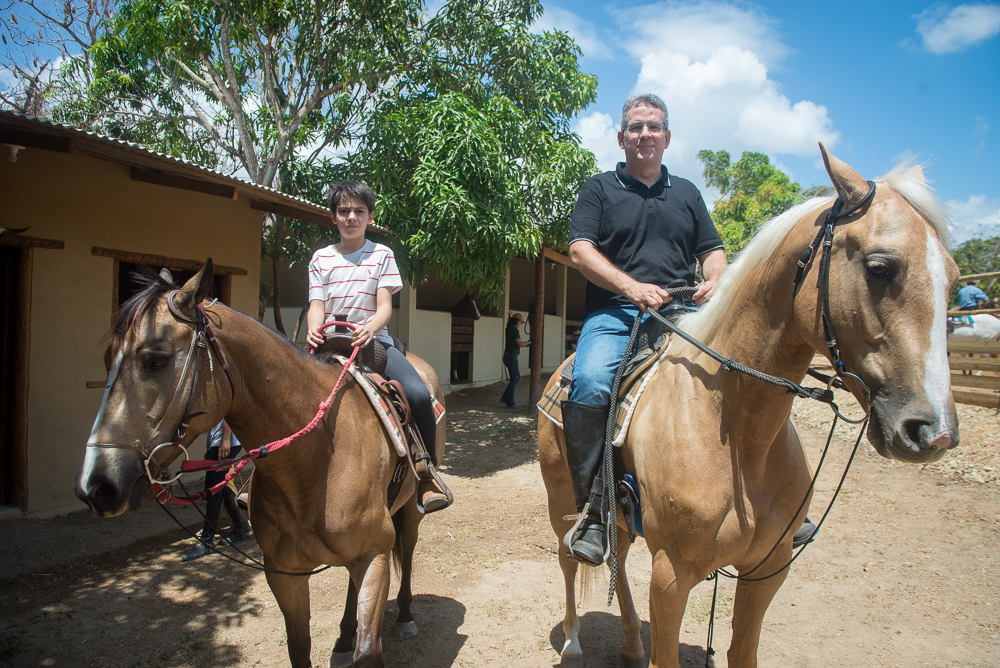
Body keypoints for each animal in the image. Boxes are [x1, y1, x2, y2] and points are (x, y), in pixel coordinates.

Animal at [74, 262, 442, 668]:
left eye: (156, 359)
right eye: (107, 360)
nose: (97, 485)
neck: (316, 463)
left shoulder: (374, 554)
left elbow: (369, 651)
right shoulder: (283, 573)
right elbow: (300, 649)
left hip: (411, 511)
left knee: (407, 550)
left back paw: (405, 616)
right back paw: (345, 637)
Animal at [540, 146, 960, 668]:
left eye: (954, 277)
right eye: (880, 267)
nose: (933, 432)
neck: (737, 432)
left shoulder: (767, 569)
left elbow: (744, 650)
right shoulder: (672, 576)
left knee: (617, 553)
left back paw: (632, 640)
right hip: (561, 499)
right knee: (568, 557)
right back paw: (574, 642)